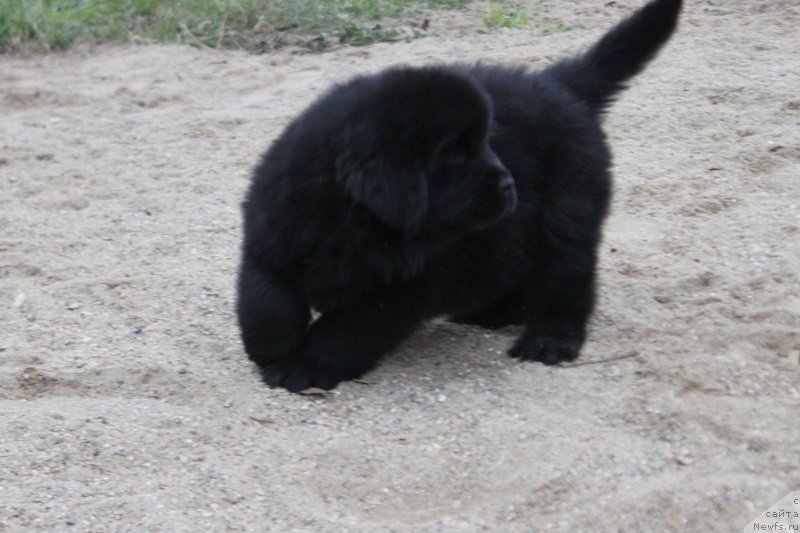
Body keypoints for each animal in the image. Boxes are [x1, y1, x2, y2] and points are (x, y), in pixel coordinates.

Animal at [236, 0, 680, 390]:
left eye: (486, 141)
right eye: (454, 155)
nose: (510, 184)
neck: (348, 219)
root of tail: (558, 85)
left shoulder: (400, 291)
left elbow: (343, 329)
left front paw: (309, 366)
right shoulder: (269, 242)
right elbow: (268, 305)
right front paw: (278, 356)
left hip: (568, 206)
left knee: (566, 272)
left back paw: (548, 339)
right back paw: (495, 312)